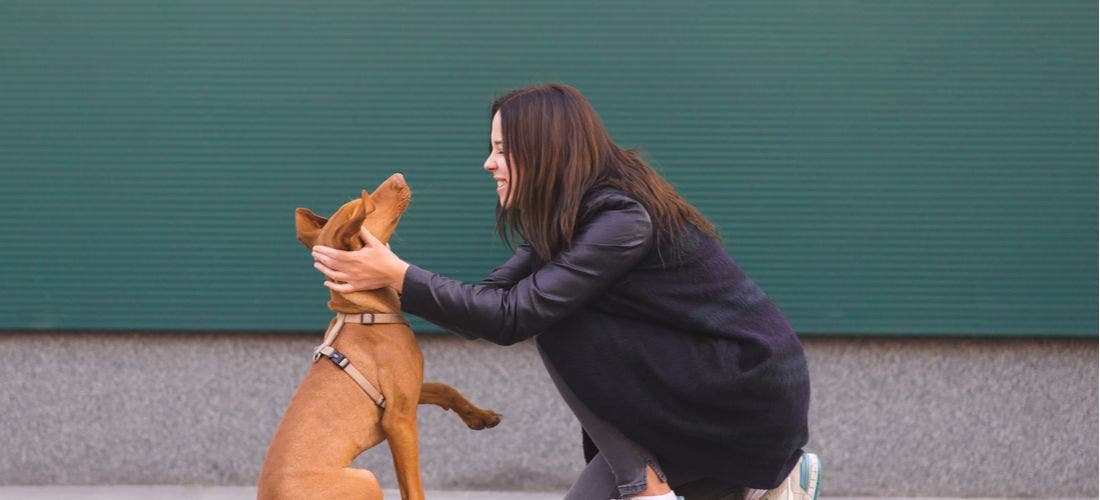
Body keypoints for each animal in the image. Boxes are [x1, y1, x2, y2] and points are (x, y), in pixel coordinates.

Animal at [257, 173, 503, 500]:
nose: (399, 177)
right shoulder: (398, 420)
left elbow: (442, 387)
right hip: (366, 478)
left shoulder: (406, 394)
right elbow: (413, 487)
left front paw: (479, 416)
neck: (365, 311)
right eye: (367, 207)